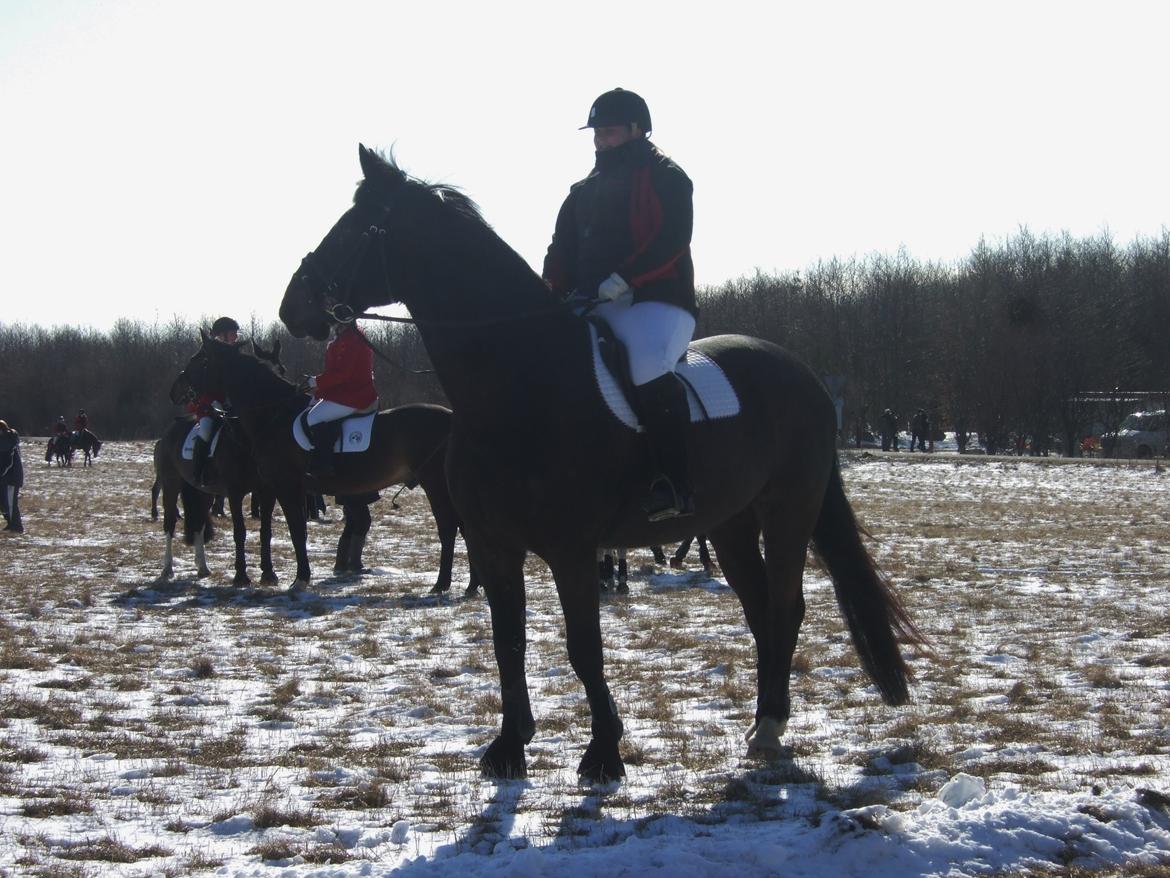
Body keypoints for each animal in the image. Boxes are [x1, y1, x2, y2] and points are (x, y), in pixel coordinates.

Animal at [166, 339, 475, 594]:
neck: (273, 415)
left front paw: (300, 578)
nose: (175, 390)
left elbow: (296, 530)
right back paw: (472, 586)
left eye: (199, 359)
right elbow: (286, 530)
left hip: (434, 483)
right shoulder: (276, 488)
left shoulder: (284, 485)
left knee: (450, 527)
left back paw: (442, 584)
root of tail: (452, 418)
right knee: (465, 526)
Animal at [273, 146, 921, 782]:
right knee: (761, 609)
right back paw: (762, 723)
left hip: (788, 512)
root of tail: (802, 374)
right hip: (730, 524)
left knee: (786, 606)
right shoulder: (493, 544)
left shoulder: (571, 548)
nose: (291, 307)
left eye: (355, 227)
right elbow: (508, 641)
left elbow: (584, 646)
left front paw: (604, 752)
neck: (517, 384)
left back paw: (770, 726)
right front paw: (510, 746)